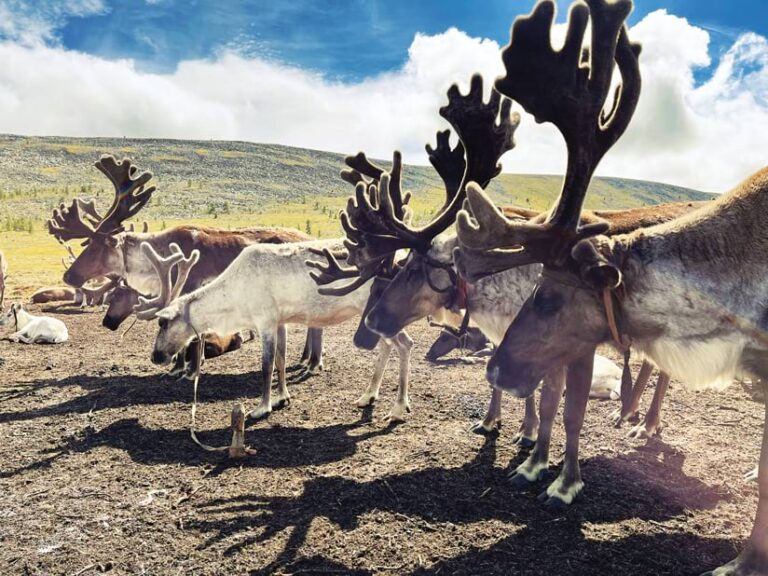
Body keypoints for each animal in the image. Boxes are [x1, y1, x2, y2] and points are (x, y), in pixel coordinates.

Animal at [47, 157, 324, 374]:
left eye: (95, 246)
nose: (68, 276)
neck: (157, 259)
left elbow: (193, 336)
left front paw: (189, 368)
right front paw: (178, 366)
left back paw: (313, 362)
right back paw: (306, 359)